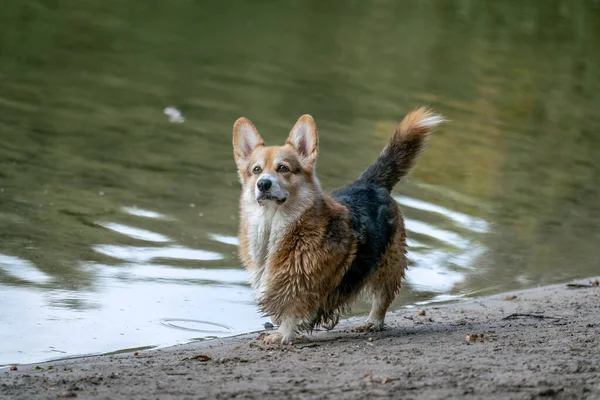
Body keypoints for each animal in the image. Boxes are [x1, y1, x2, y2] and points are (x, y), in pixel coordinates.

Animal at [232, 106, 442, 344]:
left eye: (283, 168)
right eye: (256, 170)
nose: (263, 184)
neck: (273, 223)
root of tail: (367, 183)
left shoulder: (303, 286)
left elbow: (292, 310)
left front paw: (282, 335)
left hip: (388, 263)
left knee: (382, 297)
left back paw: (373, 322)